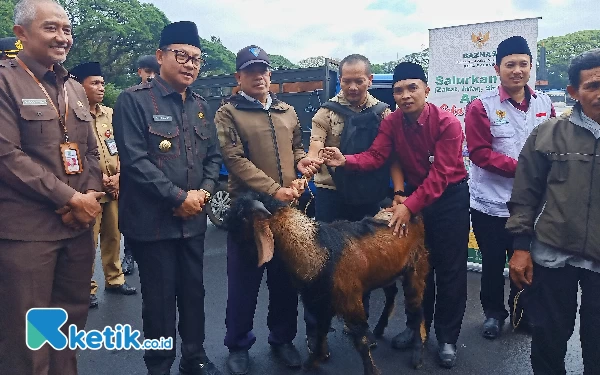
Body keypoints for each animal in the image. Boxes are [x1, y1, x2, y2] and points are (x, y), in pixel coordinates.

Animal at [225, 194, 426, 375]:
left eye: (243, 215)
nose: (226, 225)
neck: (318, 250)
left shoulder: (350, 302)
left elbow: (360, 342)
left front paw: (371, 371)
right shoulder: (321, 303)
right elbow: (321, 332)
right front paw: (312, 362)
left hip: (416, 269)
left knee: (417, 311)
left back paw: (417, 356)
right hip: (386, 272)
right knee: (392, 294)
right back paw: (378, 329)